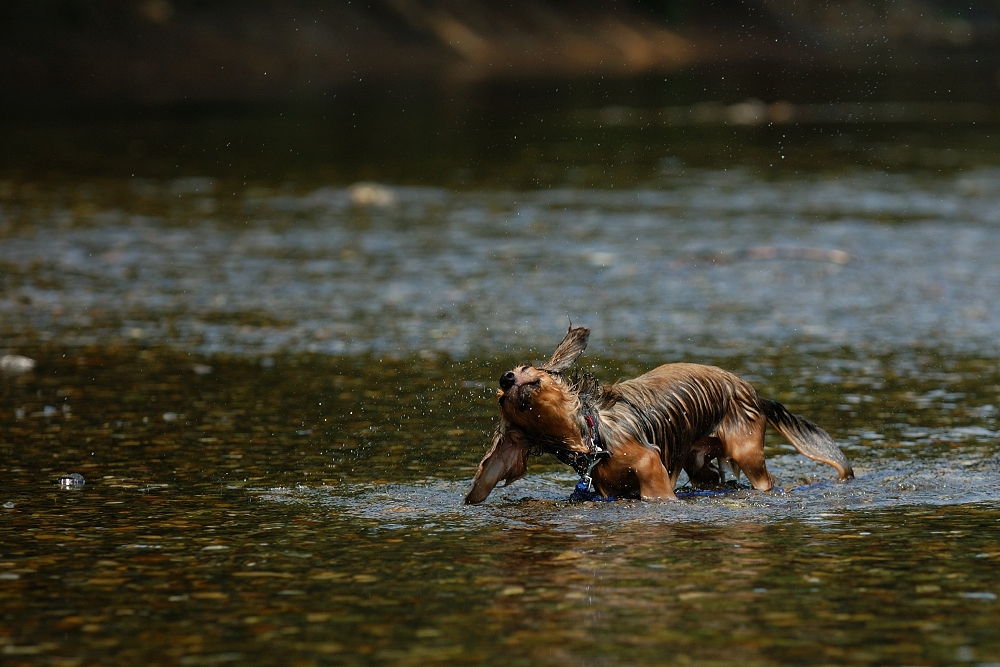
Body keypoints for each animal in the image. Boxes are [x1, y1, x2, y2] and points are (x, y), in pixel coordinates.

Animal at [466, 326, 852, 504]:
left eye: (527, 369)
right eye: (502, 399)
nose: (505, 378)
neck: (591, 435)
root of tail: (753, 392)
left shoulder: (651, 465)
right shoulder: (609, 487)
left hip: (747, 452)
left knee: (763, 480)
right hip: (698, 462)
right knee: (713, 477)